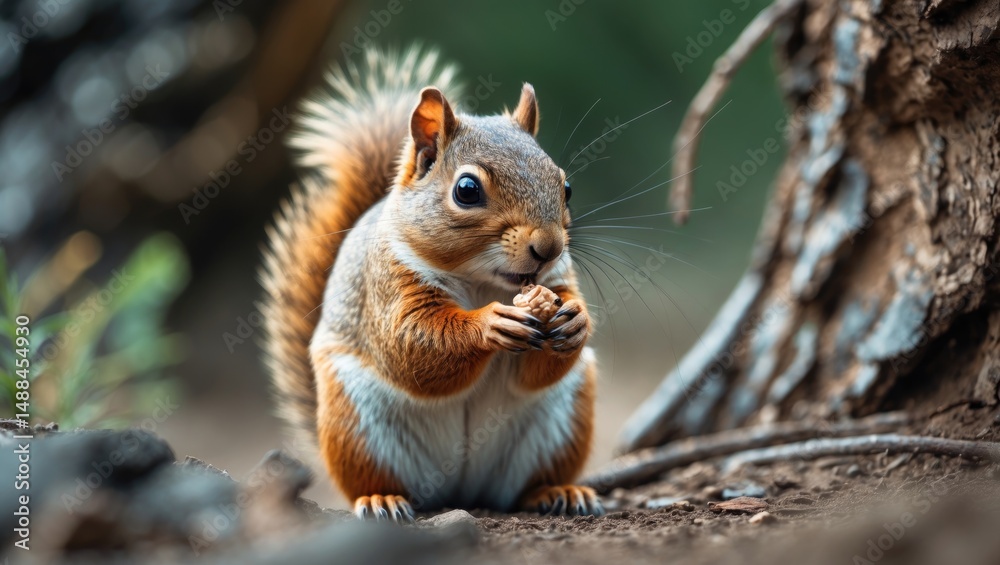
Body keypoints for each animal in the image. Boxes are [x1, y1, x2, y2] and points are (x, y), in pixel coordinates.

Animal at [261, 48, 601, 522]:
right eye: (466, 190)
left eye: (565, 186)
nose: (549, 247)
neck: (482, 283)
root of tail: (464, 490)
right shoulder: (388, 286)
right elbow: (413, 344)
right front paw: (490, 324)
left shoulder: (554, 280)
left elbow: (536, 369)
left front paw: (575, 321)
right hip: (356, 425)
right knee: (373, 481)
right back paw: (381, 500)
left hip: (563, 419)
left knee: (524, 486)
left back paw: (557, 491)